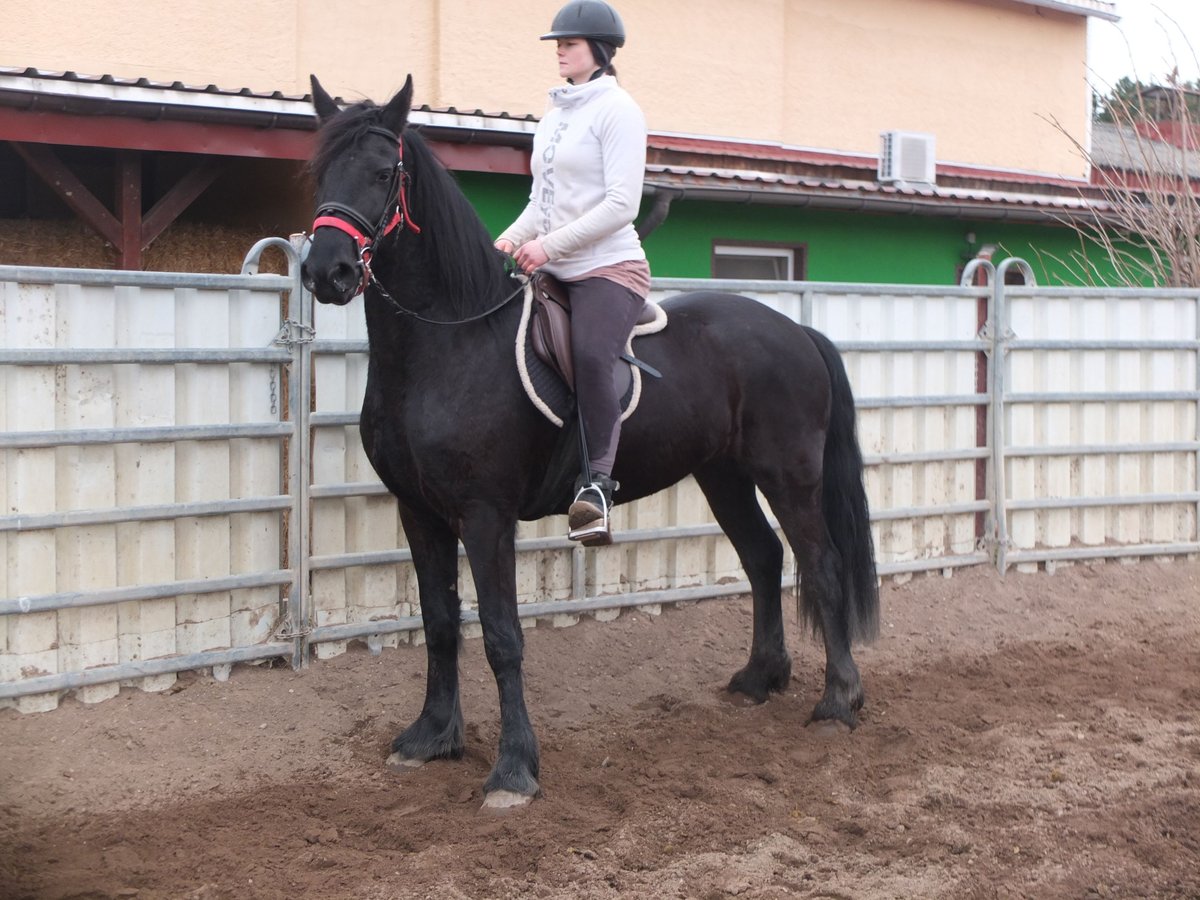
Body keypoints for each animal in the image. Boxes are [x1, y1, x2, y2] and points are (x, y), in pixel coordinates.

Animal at [302, 77, 883, 811]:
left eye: (384, 173)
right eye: (320, 172)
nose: (327, 272)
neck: (452, 341)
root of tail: (796, 330)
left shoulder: (485, 516)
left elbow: (502, 636)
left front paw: (513, 771)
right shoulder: (420, 512)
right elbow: (438, 623)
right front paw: (431, 738)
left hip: (790, 474)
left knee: (822, 564)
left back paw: (838, 702)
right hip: (723, 475)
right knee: (763, 557)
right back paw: (760, 678)